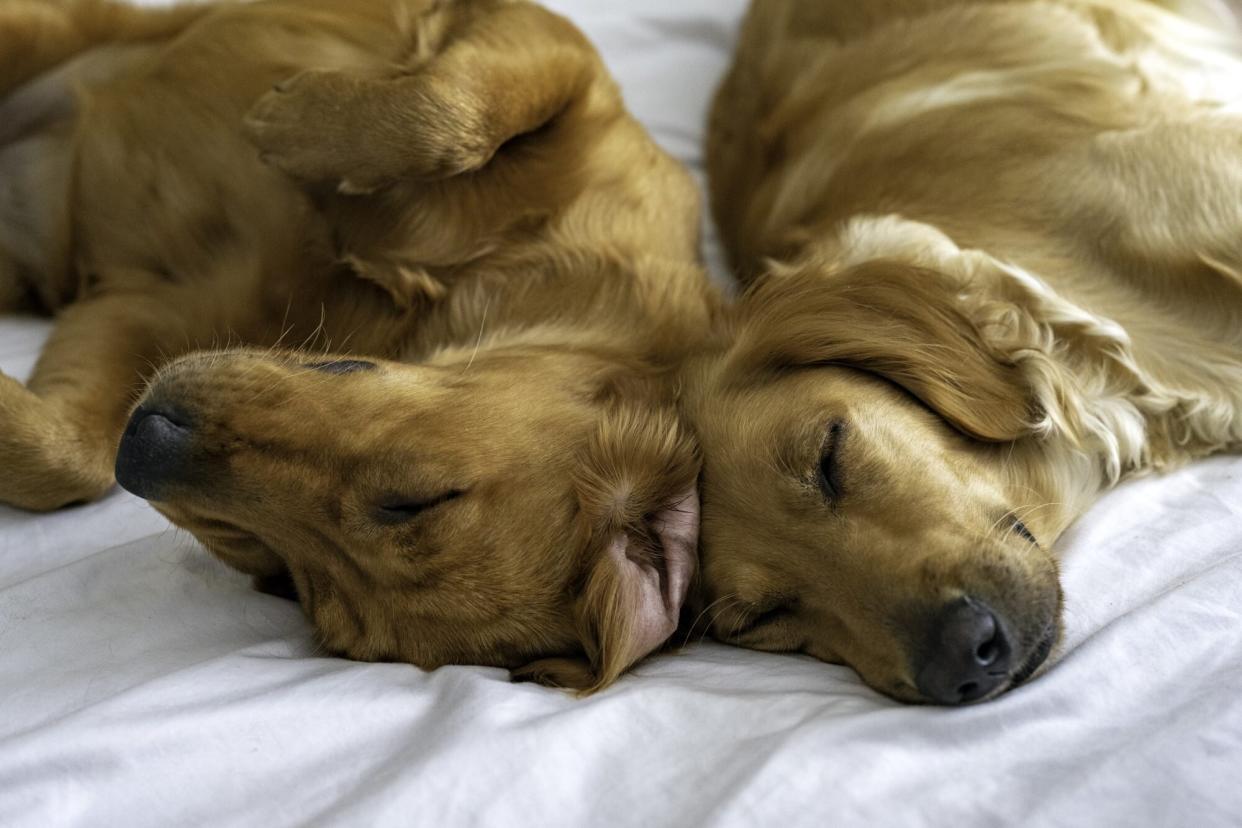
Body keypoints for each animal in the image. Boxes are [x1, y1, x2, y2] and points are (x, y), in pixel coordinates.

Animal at [0, 0, 720, 695]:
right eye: (414, 500)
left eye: (290, 583)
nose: (143, 445)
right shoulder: (565, 57)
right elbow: (451, 109)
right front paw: (294, 128)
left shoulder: (140, 297)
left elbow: (69, 460)